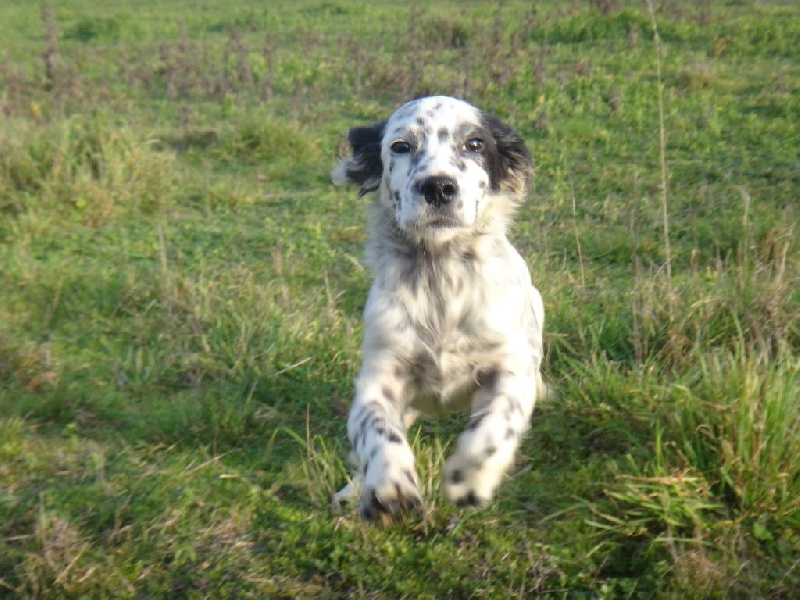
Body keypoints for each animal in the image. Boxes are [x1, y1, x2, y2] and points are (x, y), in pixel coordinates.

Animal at [330, 95, 544, 520]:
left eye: (475, 144)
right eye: (401, 146)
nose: (439, 187)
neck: (441, 273)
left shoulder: (510, 368)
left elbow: (496, 424)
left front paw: (469, 480)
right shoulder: (380, 376)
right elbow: (375, 427)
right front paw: (389, 487)